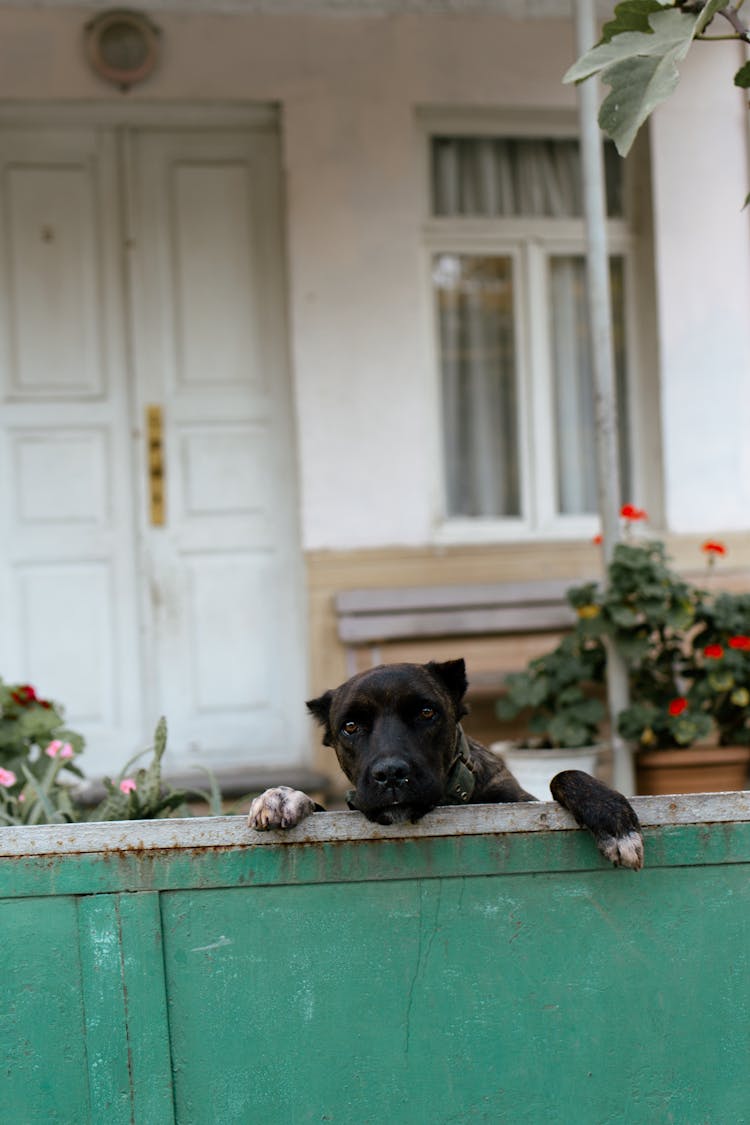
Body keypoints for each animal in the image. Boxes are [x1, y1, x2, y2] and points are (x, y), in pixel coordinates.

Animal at [247, 657, 647, 868]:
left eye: (427, 713)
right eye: (350, 727)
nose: (390, 774)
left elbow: (564, 773)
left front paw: (611, 817)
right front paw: (282, 796)